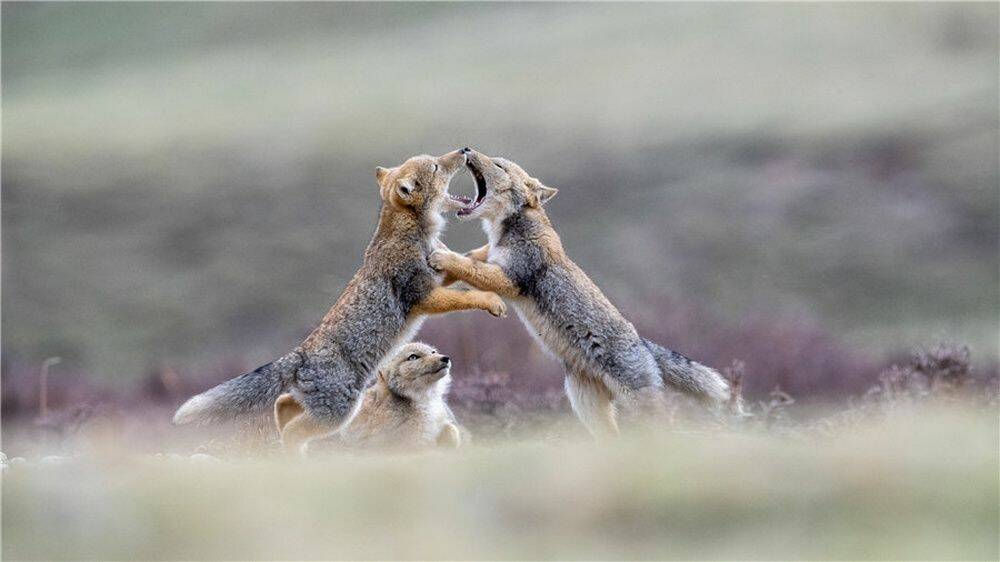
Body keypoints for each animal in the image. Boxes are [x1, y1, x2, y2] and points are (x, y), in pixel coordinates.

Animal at [426, 149, 740, 438]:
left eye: (499, 165)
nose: (467, 149)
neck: (506, 232)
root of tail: (642, 343)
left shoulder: (511, 279)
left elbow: (470, 266)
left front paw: (444, 258)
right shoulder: (494, 262)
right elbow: (473, 259)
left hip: (636, 404)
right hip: (585, 405)